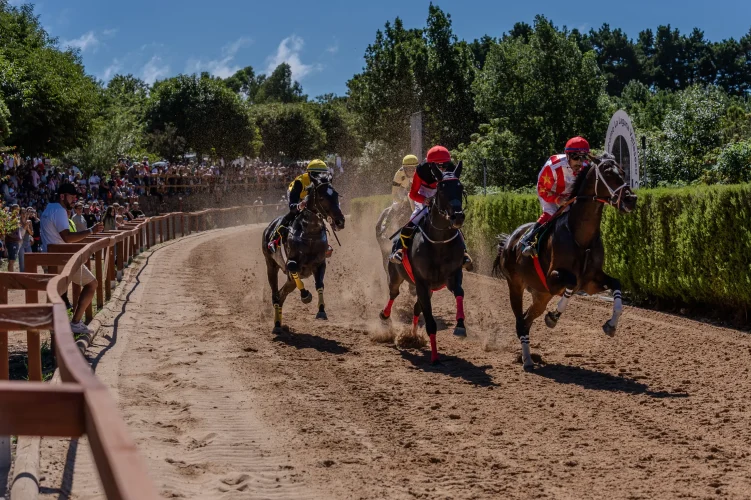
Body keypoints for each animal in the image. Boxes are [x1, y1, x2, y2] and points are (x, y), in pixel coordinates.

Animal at [262, 181, 345, 333]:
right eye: (322, 198)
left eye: (336, 195)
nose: (340, 221)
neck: (309, 233)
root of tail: (267, 229)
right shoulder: (291, 263)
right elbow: (292, 266)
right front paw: (305, 295)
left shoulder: (320, 263)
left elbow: (320, 284)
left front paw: (321, 311)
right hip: (271, 265)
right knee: (276, 295)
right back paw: (276, 325)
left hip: (289, 280)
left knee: (282, 294)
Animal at [379, 164, 468, 364]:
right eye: (441, 189)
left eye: (460, 187)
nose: (458, 217)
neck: (439, 242)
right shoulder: (421, 281)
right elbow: (430, 321)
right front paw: (434, 357)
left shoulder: (453, 275)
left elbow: (460, 292)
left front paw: (460, 326)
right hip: (396, 276)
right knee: (393, 294)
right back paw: (385, 315)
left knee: (416, 307)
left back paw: (412, 336)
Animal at [492, 155, 637, 371]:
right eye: (607, 172)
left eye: (622, 171)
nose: (630, 199)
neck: (581, 237)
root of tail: (509, 240)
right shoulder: (554, 279)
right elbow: (570, 282)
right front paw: (553, 317)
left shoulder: (590, 282)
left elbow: (617, 284)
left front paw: (611, 325)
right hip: (516, 286)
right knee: (520, 322)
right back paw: (527, 360)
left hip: (541, 296)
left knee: (526, 320)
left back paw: (528, 356)